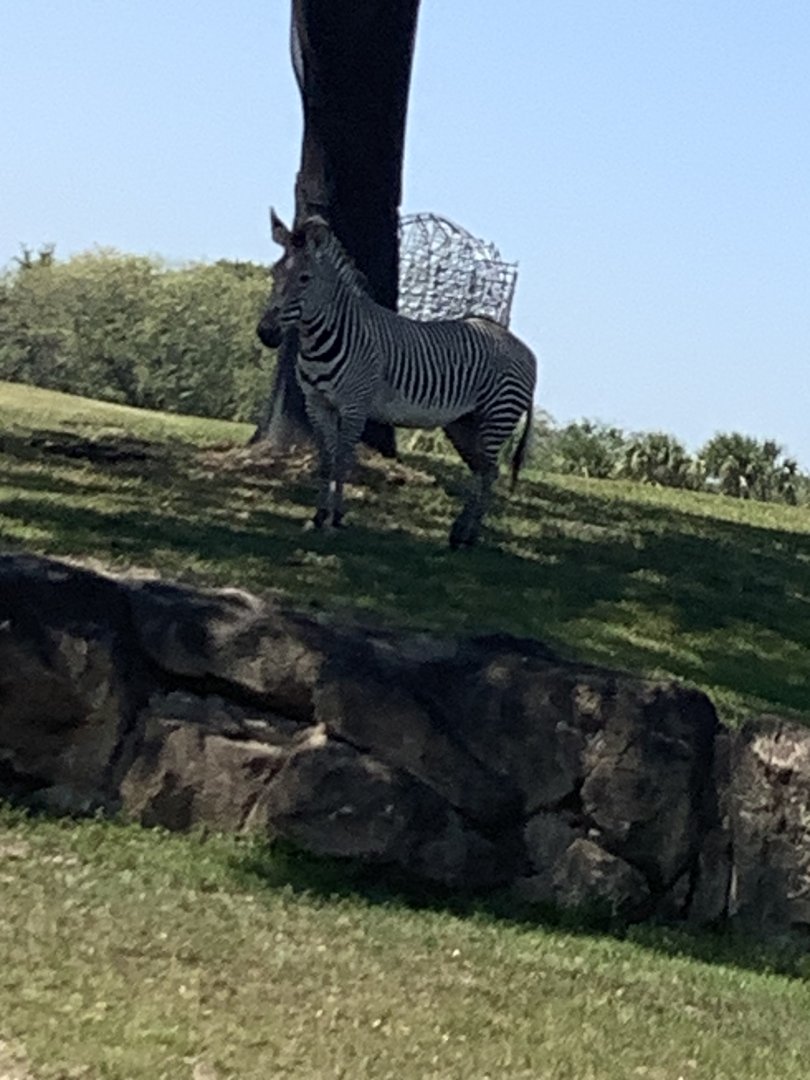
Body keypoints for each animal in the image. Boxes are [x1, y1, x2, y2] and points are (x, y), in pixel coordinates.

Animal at [259, 210, 537, 549]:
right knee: (483, 469)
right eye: (274, 273)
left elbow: (342, 461)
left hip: (498, 416)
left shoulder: (355, 406)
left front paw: (334, 519)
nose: (266, 333)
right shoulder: (317, 404)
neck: (324, 338)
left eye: (304, 278)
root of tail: (523, 347)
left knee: (490, 472)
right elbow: (326, 462)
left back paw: (469, 537)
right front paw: (317, 516)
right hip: (464, 423)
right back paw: (459, 534)